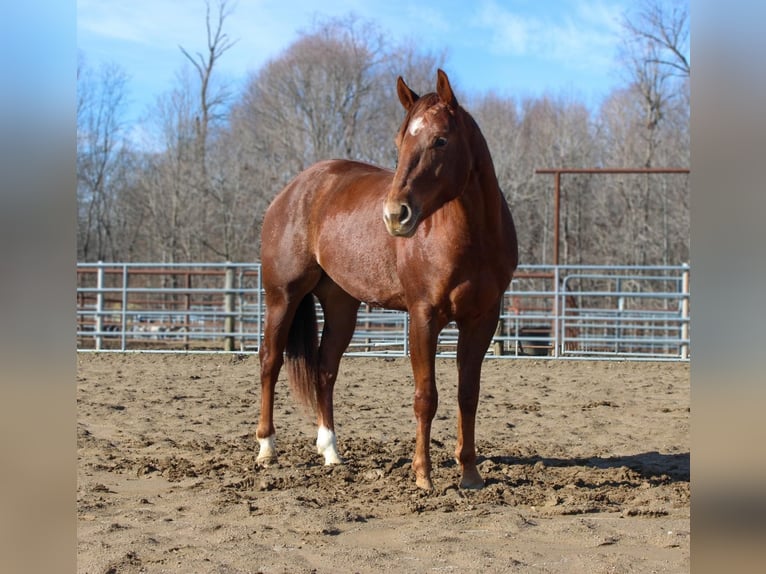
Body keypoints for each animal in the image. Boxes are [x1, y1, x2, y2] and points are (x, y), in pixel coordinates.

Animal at [258, 67, 520, 490]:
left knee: (325, 369)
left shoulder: (482, 320)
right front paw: (423, 475)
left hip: (341, 305)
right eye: (400, 141)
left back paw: (331, 451)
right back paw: (267, 448)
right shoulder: (424, 317)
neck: (472, 237)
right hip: (282, 296)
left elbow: (468, 394)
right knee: (270, 360)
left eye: (440, 140)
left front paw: (469, 472)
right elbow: (426, 396)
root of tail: (294, 189)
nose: (396, 215)